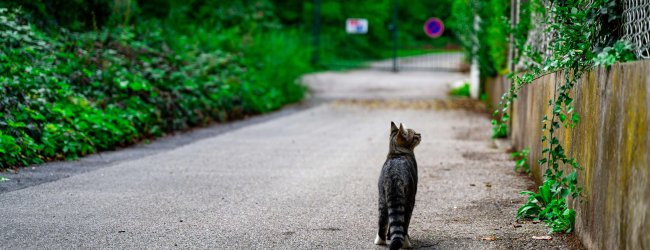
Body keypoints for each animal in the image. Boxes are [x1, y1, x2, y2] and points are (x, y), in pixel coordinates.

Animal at [374, 120, 420, 248]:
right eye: (415, 134)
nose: (420, 134)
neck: (396, 152)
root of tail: (393, 176)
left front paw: (390, 236)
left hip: (382, 199)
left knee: (383, 222)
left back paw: (381, 240)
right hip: (409, 200)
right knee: (404, 224)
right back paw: (406, 242)